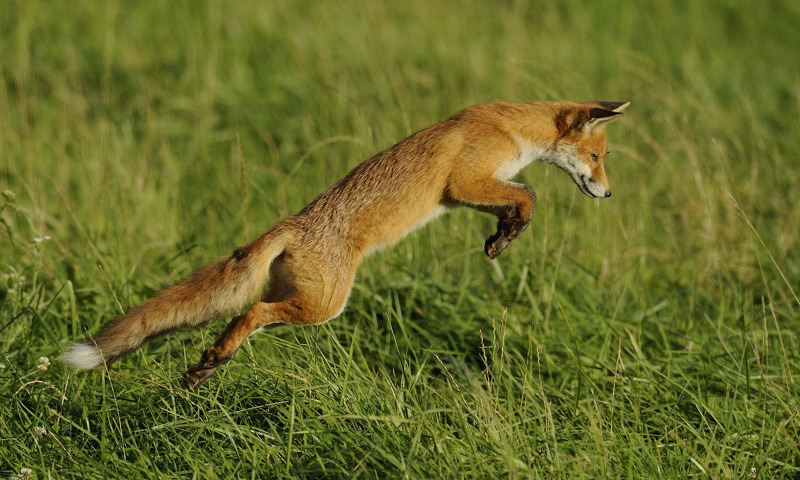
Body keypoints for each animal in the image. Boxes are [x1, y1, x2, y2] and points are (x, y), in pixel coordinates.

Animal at [59, 99, 628, 388]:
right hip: (325, 305)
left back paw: (209, 364)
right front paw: (505, 238)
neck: (510, 126)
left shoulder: (473, 190)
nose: (609, 193)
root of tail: (292, 223)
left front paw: (500, 238)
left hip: (307, 300)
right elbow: (530, 194)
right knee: (250, 312)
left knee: (245, 315)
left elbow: (518, 200)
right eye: (597, 157)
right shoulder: (464, 183)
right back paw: (214, 360)